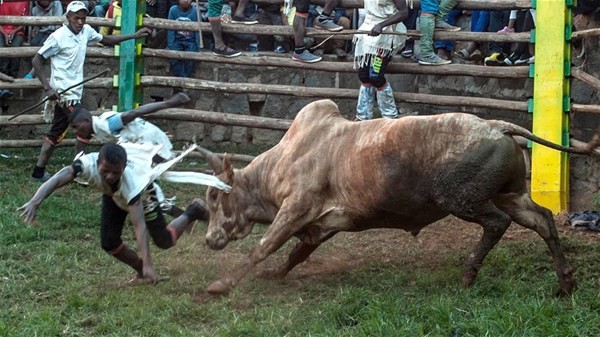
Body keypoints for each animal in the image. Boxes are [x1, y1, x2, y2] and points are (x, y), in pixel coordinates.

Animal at [198, 99, 600, 294]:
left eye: (215, 198)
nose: (209, 239)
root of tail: (496, 126)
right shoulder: (322, 226)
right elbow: (297, 253)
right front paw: (276, 274)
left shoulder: (296, 208)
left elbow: (264, 245)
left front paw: (221, 285)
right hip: (510, 195)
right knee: (542, 220)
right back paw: (565, 281)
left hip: (461, 199)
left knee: (496, 224)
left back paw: (468, 275)